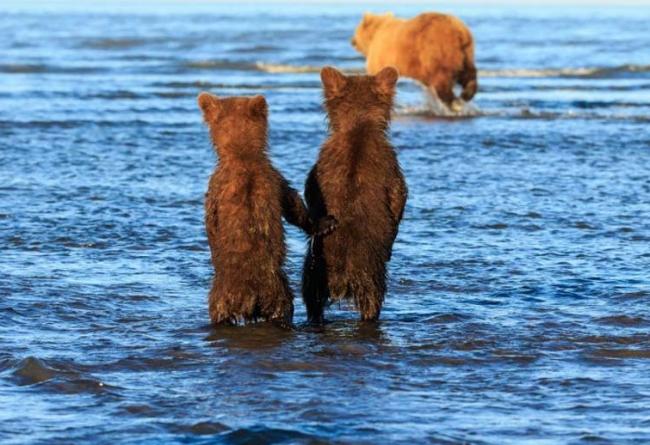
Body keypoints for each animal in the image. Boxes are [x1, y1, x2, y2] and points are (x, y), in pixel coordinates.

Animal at [300, 67, 404, 322]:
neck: (359, 124)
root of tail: (339, 277)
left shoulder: (321, 166)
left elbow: (310, 191)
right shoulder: (390, 165)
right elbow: (399, 196)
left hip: (314, 269)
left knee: (311, 299)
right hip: (368, 271)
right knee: (373, 300)